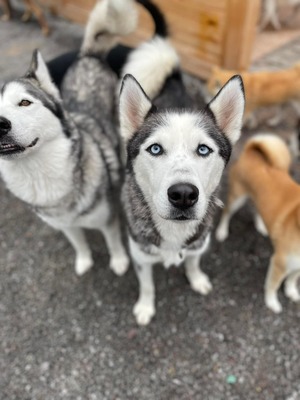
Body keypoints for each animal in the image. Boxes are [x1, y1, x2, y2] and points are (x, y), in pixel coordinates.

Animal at [0, 0, 138, 276]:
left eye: (24, 102)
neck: (39, 173)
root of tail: (88, 56)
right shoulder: (65, 226)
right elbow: (79, 242)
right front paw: (84, 260)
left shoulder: (107, 219)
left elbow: (113, 242)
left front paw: (119, 261)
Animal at [216, 136, 300, 314]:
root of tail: (251, 151)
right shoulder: (279, 264)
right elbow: (272, 286)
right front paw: (271, 303)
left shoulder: (297, 267)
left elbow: (291, 280)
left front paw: (291, 292)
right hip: (237, 198)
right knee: (227, 213)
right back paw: (222, 231)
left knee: (256, 210)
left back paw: (262, 226)